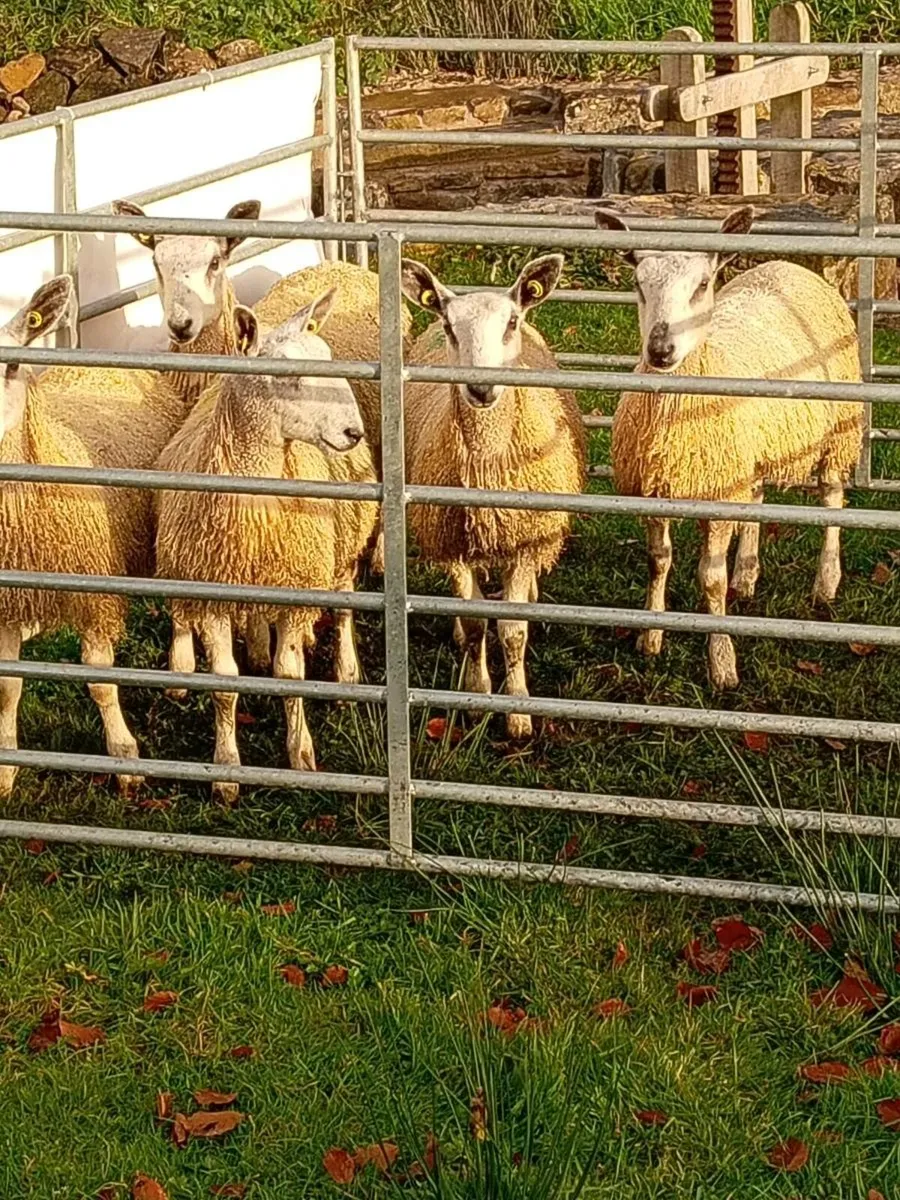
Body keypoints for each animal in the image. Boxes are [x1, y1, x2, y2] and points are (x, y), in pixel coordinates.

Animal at [0, 275, 186, 796]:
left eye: (13, 364)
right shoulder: (8, 600)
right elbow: (8, 685)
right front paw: (5, 769)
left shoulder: (93, 589)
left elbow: (101, 681)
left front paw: (125, 758)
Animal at [154, 292, 376, 804]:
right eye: (285, 374)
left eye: (328, 359)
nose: (352, 432)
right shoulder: (212, 588)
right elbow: (224, 686)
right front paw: (226, 771)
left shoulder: (297, 585)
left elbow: (290, 677)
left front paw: (300, 753)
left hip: (340, 545)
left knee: (344, 607)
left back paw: (345, 669)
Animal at [400, 254, 587, 739]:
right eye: (449, 325)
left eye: (512, 322)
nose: (481, 389)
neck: (486, 464)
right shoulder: (451, 543)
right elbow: (474, 622)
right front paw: (477, 694)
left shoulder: (525, 541)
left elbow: (512, 631)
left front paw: (518, 711)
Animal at [595, 206, 864, 690]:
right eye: (639, 284)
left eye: (703, 284)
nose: (660, 349)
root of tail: (787, 264)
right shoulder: (652, 490)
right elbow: (658, 562)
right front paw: (650, 638)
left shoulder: (717, 495)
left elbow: (710, 580)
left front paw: (721, 662)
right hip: (748, 453)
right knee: (755, 499)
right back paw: (747, 574)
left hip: (839, 431)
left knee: (832, 500)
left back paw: (825, 583)